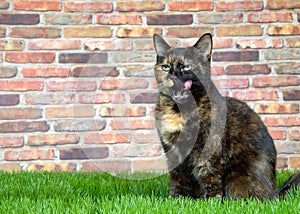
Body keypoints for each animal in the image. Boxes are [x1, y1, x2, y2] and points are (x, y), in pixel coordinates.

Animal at [154, 32, 298, 200]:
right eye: (166, 67)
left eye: (187, 67)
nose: (172, 76)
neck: (178, 112)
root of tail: (275, 192)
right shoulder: (172, 152)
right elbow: (178, 179)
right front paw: (177, 199)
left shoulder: (209, 148)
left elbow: (209, 175)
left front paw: (209, 201)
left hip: (237, 179)